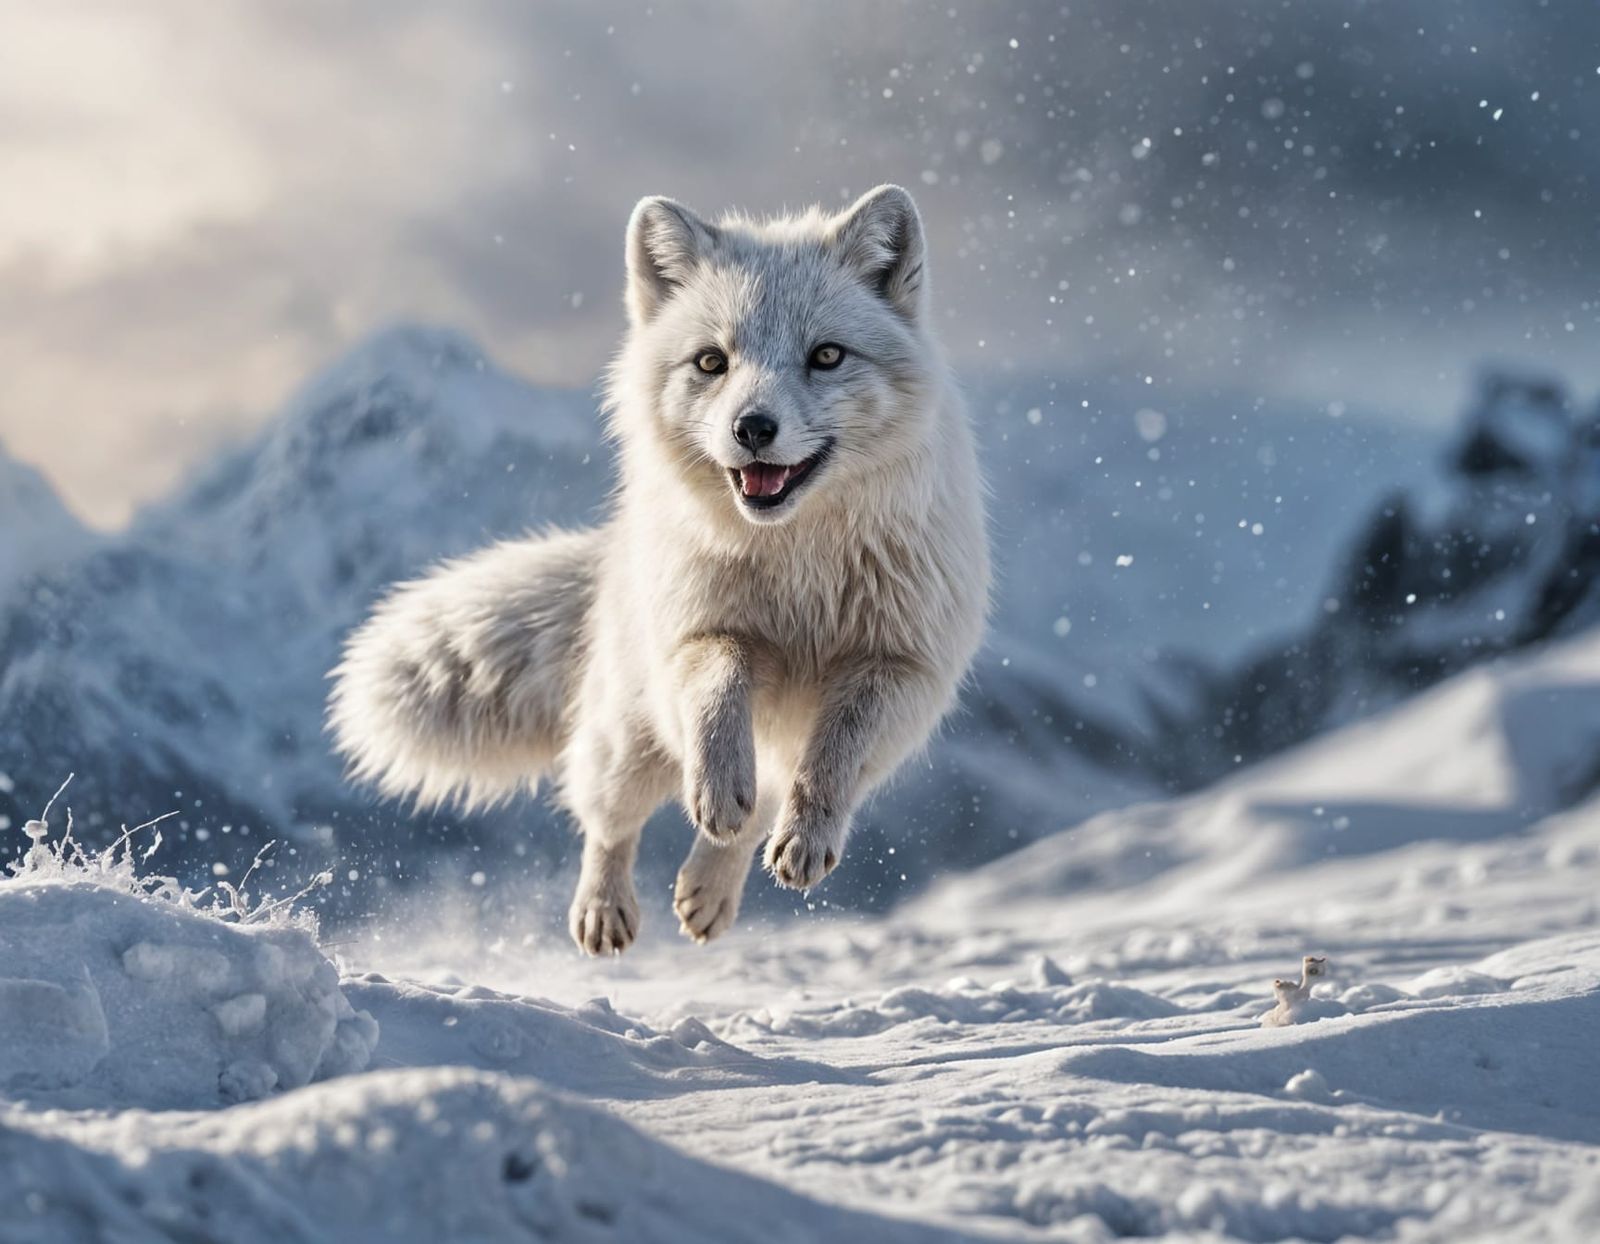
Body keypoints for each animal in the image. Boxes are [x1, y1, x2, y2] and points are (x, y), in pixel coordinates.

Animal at [329, 185, 990, 954]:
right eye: (711, 362)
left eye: (827, 355)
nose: (752, 428)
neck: (800, 569)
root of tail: (610, 560)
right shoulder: (697, 636)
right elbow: (719, 690)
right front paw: (717, 786)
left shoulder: (898, 666)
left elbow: (829, 761)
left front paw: (804, 838)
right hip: (629, 741)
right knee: (608, 820)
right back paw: (606, 908)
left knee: (759, 807)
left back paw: (710, 891)